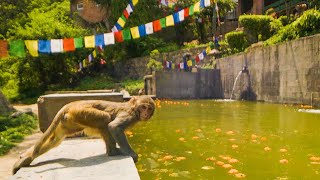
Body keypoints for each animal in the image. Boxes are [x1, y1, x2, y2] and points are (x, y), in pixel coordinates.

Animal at [13, 95, 156, 174]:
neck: (133, 108)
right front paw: (131, 154)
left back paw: (25, 159)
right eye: (143, 107)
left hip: (70, 119)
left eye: (149, 108)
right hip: (81, 112)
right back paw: (113, 152)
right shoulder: (129, 115)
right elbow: (114, 127)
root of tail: (71, 104)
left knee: (56, 139)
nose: (146, 113)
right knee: (105, 119)